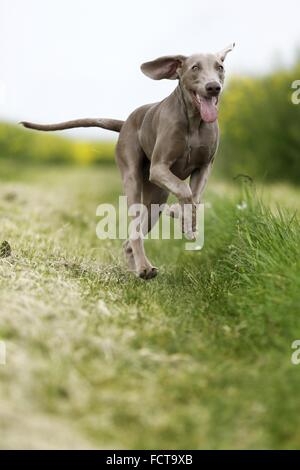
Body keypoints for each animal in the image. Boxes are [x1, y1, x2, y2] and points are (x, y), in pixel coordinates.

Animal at [22, 43, 236, 280]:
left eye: (219, 67)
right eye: (195, 68)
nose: (213, 87)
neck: (194, 121)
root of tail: (125, 122)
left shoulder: (205, 166)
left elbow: (195, 196)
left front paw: (185, 220)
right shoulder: (159, 168)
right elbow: (184, 190)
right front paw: (183, 218)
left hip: (156, 198)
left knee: (132, 237)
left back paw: (139, 268)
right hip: (133, 176)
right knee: (135, 229)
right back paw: (144, 268)